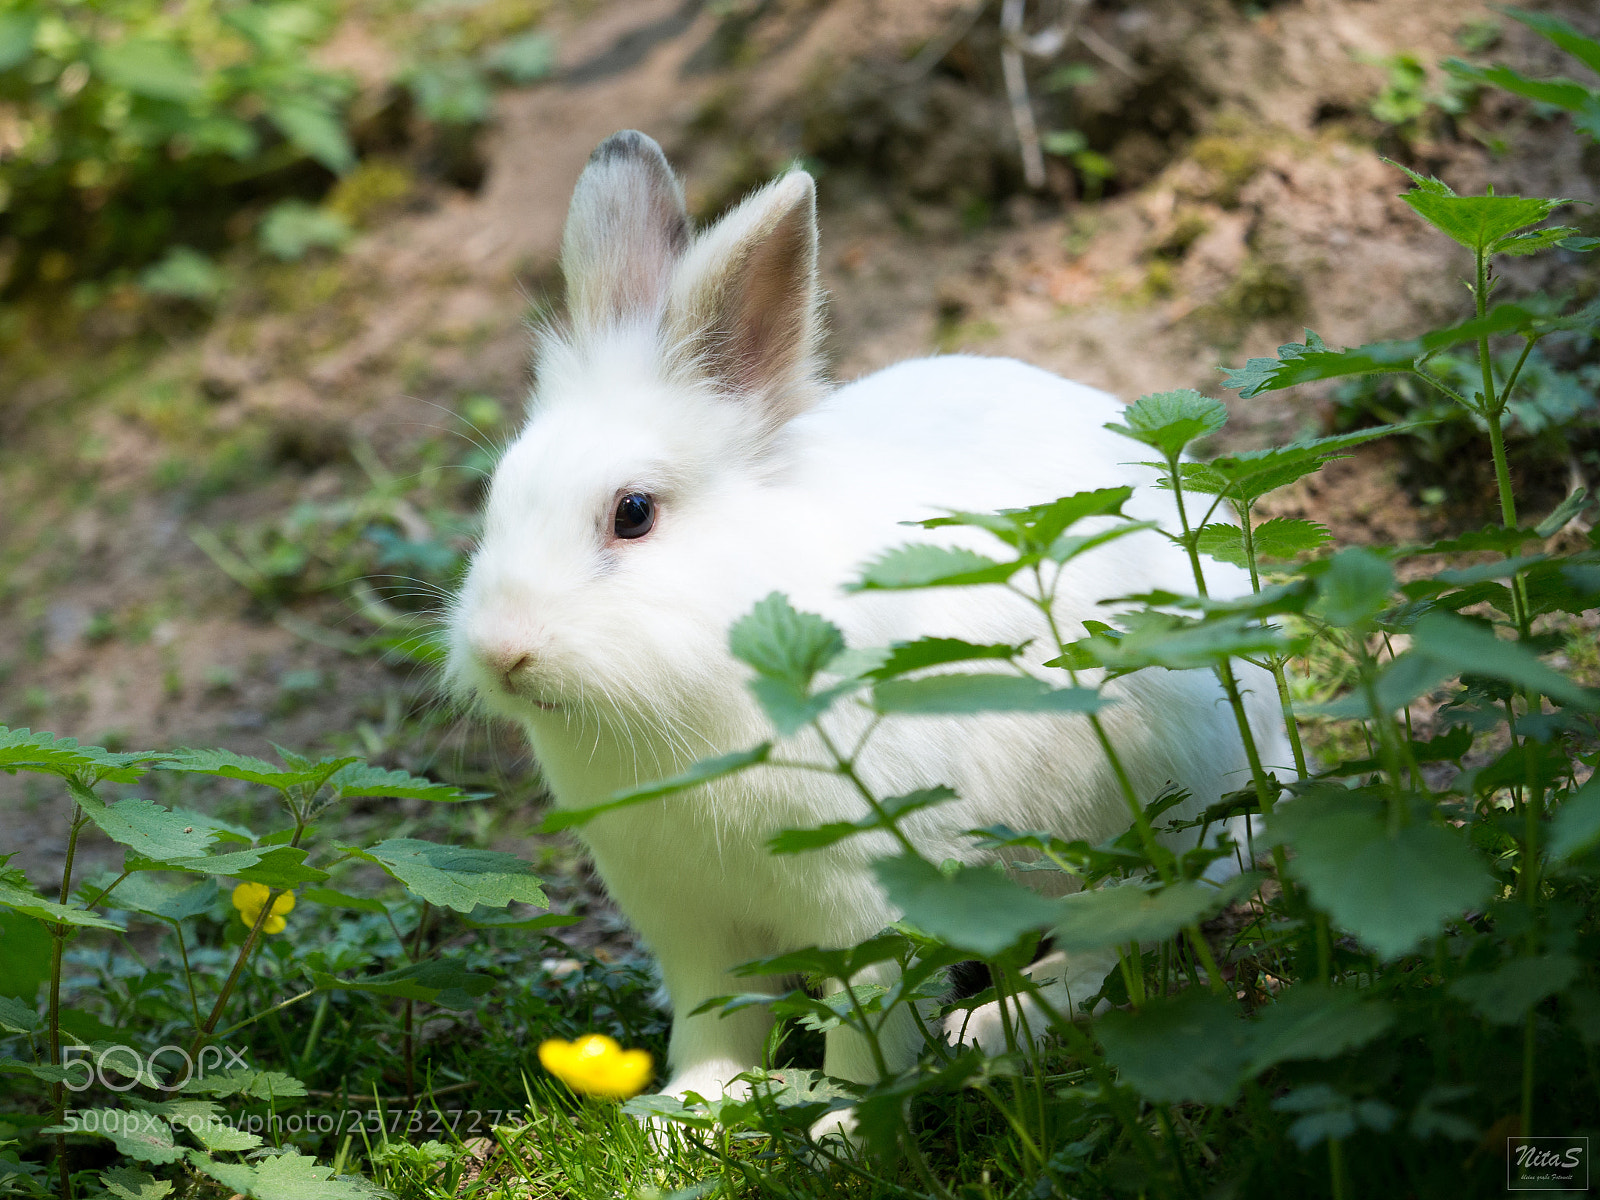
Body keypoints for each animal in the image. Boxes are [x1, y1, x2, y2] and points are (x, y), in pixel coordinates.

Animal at [446, 130, 1288, 1120]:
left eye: (634, 513)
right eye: (497, 498)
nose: (502, 652)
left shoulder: (871, 900)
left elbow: (871, 1028)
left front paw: (841, 1122)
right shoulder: (690, 920)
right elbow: (711, 1023)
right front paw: (684, 1113)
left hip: (1151, 810)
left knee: (1127, 929)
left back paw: (997, 1024)